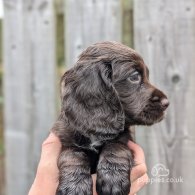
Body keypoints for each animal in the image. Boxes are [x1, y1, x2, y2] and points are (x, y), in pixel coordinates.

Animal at [52, 41, 169, 195]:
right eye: (134, 77)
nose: (167, 103)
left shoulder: (124, 139)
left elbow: (116, 147)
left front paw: (113, 179)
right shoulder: (66, 138)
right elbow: (72, 155)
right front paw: (74, 187)